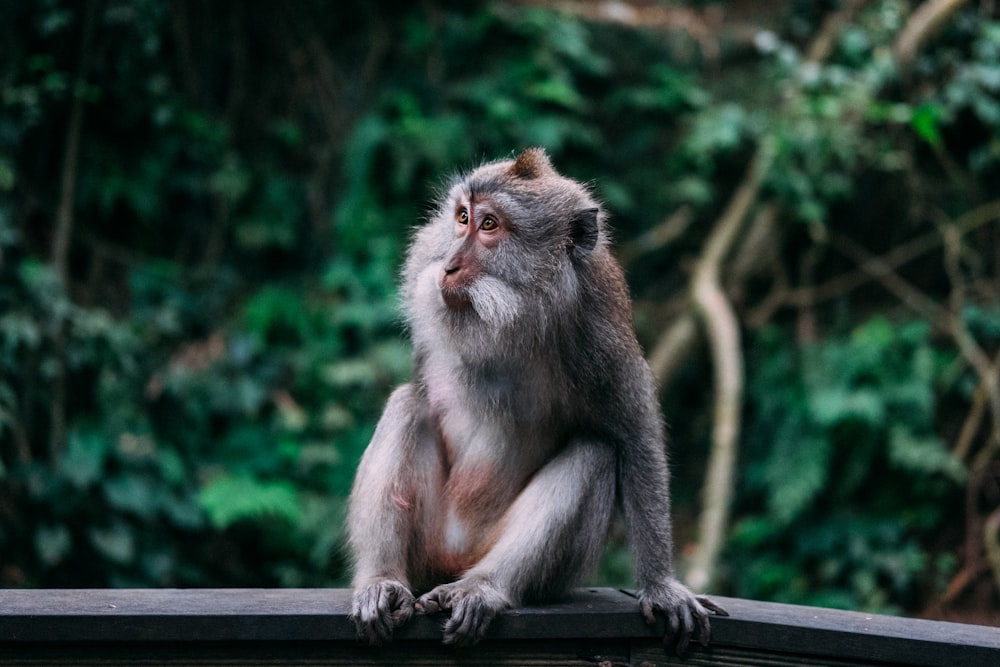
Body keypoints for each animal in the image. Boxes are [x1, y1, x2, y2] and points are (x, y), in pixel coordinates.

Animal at [346, 146, 728, 652]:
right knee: (409, 404)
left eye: (489, 225)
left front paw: (662, 587)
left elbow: (635, 437)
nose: (448, 264)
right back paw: (383, 581)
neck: (514, 317)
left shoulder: (602, 336)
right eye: (462, 218)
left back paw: (484, 587)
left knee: (595, 452)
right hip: (430, 543)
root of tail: (456, 558)